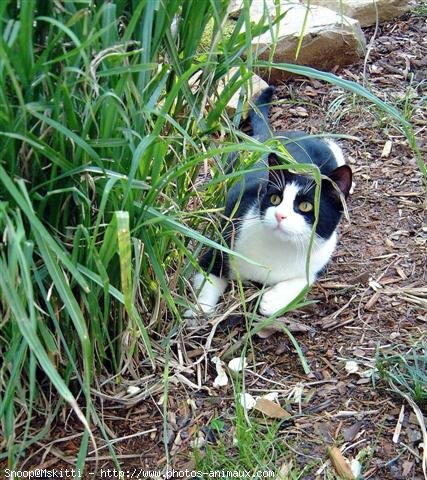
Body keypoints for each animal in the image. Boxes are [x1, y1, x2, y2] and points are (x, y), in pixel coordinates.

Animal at [186, 87, 352, 318]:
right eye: (275, 198)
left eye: (306, 206)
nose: (279, 215)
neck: (279, 251)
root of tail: (274, 135)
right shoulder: (222, 244)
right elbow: (207, 280)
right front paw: (198, 310)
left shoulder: (319, 258)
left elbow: (304, 279)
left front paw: (271, 301)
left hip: (331, 152)